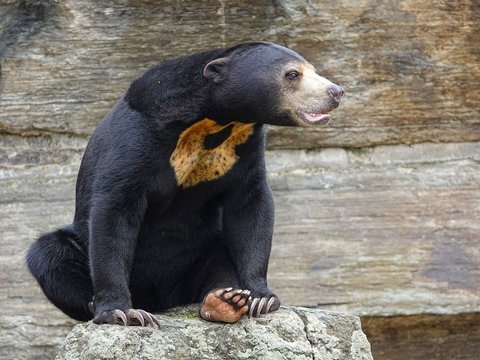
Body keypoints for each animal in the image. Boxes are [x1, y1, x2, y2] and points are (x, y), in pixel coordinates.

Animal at [26, 42, 344, 326]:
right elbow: (114, 209)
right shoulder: (136, 138)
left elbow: (251, 206)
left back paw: (224, 301)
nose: (336, 92)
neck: (217, 121)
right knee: (49, 254)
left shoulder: (245, 147)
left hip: (201, 249)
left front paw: (261, 298)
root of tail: (165, 300)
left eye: (313, 70)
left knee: (217, 257)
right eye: (293, 74)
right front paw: (121, 313)